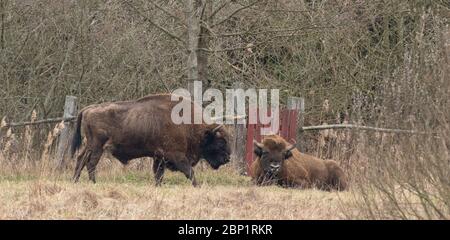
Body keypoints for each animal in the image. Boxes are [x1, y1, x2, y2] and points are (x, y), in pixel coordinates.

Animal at [71, 93, 232, 186]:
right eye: (221, 142)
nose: (227, 159)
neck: (192, 126)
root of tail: (88, 109)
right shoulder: (177, 155)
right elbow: (189, 172)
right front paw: (197, 185)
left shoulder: (159, 157)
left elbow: (158, 174)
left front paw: (158, 186)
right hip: (97, 146)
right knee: (90, 163)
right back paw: (93, 183)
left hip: (89, 145)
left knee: (80, 159)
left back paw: (75, 180)